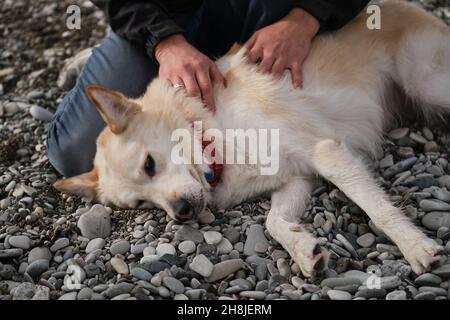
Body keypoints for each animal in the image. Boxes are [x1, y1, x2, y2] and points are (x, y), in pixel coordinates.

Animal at [55, 1, 450, 278]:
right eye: (139, 204)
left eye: (149, 165)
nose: (181, 213)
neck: (211, 132)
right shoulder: (297, 177)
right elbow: (273, 222)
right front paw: (305, 250)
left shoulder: (324, 152)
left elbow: (378, 209)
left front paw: (415, 246)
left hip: (427, 86)